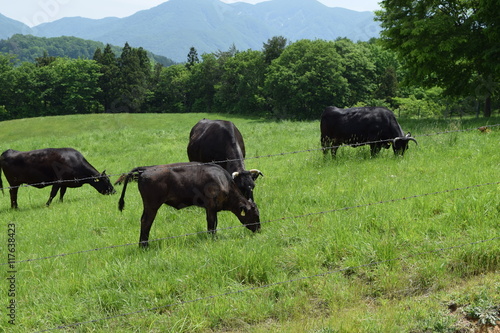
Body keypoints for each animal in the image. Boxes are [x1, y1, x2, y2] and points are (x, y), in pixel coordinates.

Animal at [118, 162, 262, 245]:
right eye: (255, 215)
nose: (259, 230)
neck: (223, 182)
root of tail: (146, 169)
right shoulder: (210, 207)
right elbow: (211, 225)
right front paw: (212, 239)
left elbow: (214, 224)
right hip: (152, 205)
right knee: (146, 221)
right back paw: (144, 245)